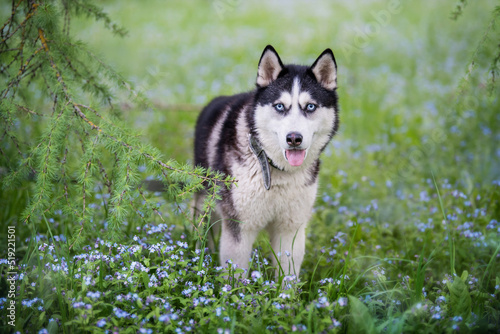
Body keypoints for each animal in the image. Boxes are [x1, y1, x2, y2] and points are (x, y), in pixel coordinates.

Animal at [193, 45, 338, 276]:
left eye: (310, 107)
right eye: (279, 106)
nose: (294, 138)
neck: (275, 169)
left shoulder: (291, 228)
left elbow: (288, 276)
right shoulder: (239, 227)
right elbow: (236, 276)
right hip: (205, 204)